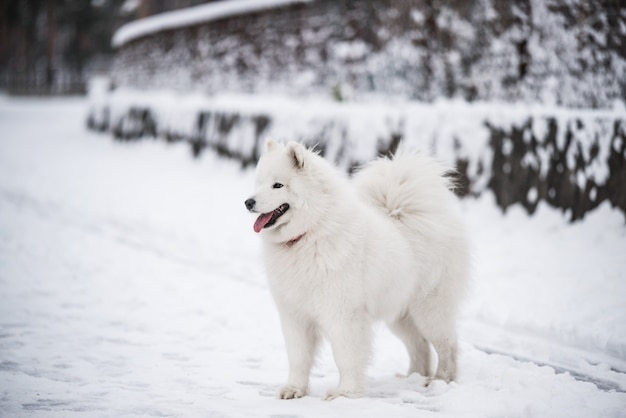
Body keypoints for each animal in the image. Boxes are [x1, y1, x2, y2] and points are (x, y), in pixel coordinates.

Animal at [244, 139, 468, 400]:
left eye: (277, 185)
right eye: (259, 183)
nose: (248, 202)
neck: (310, 232)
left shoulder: (343, 315)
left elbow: (345, 356)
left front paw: (345, 392)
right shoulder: (295, 315)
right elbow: (298, 357)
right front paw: (294, 389)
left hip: (429, 309)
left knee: (447, 345)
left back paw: (441, 380)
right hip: (400, 314)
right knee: (420, 345)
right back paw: (412, 377)